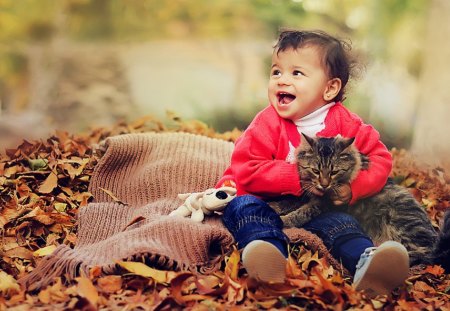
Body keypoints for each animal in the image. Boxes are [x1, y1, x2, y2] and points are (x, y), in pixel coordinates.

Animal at [268, 133, 442, 266]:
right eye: (316, 171)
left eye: (334, 172)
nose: (324, 184)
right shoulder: (305, 195)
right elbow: (287, 202)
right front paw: (274, 205)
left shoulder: (321, 204)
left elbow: (300, 214)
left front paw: (283, 220)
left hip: (403, 227)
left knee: (417, 256)